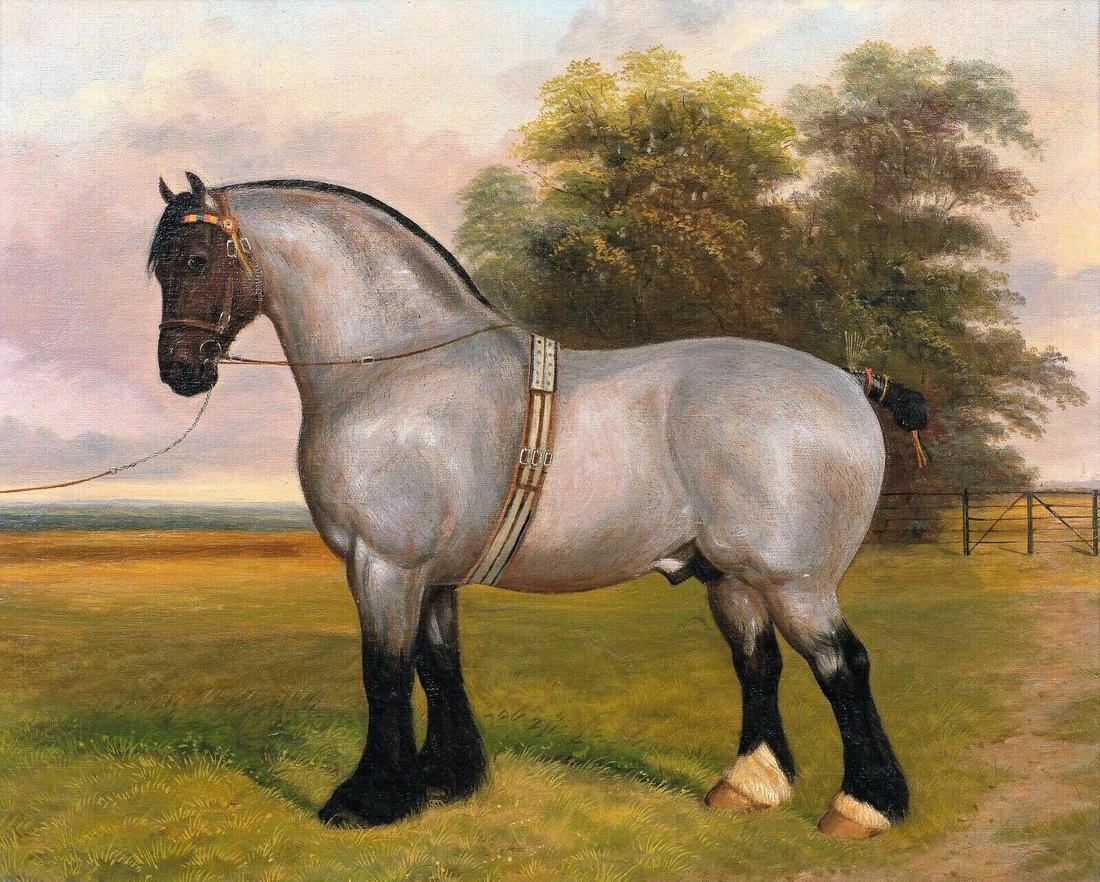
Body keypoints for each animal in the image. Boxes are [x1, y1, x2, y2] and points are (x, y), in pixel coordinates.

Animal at [149, 172, 910, 840]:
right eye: (158, 267)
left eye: (195, 258)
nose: (180, 370)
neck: (399, 370)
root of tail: (847, 381)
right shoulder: (432, 575)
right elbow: (438, 665)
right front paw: (447, 780)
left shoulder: (384, 564)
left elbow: (385, 672)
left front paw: (370, 799)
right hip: (731, 577)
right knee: (759, 663)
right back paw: (749, 787)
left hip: (795, 580)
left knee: (844, 666)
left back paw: (864, 807)